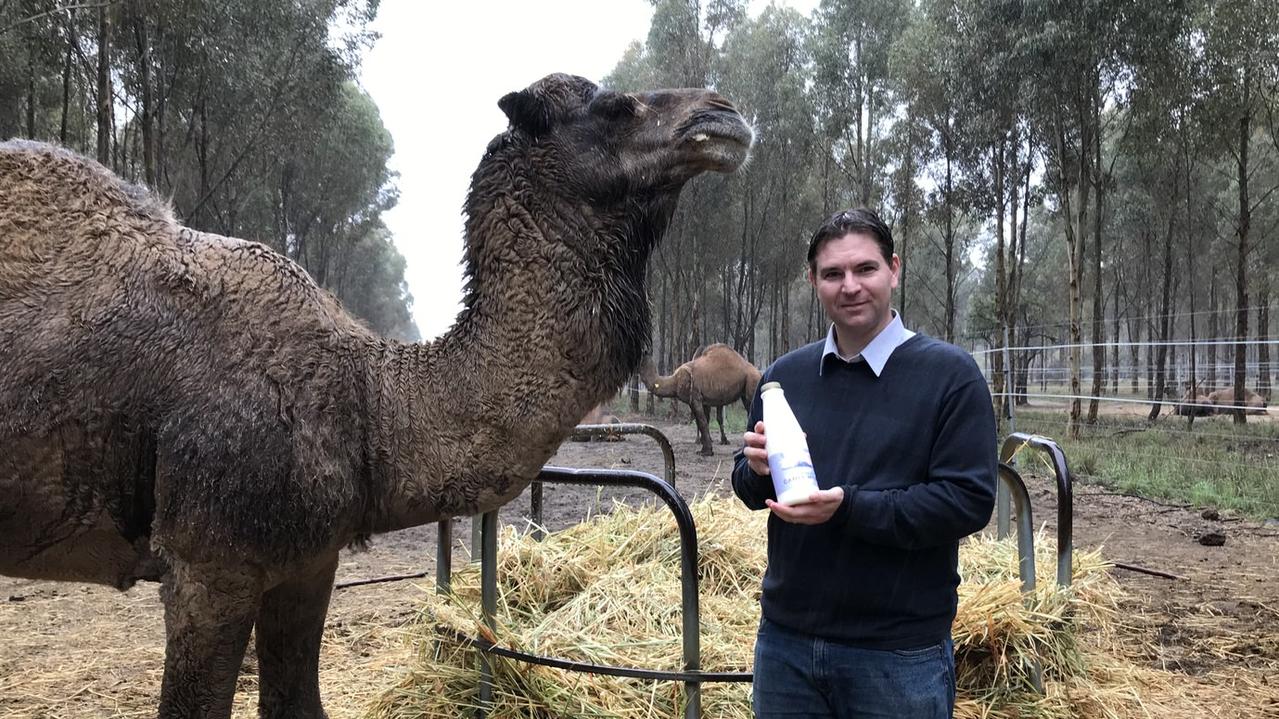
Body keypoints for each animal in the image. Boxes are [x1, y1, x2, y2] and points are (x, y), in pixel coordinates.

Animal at [0, 74, 752, 716]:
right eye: (615, 106)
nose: (723, 115)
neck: (369, 398)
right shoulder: (208, 564)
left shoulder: (307, 561)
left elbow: (297, 703)